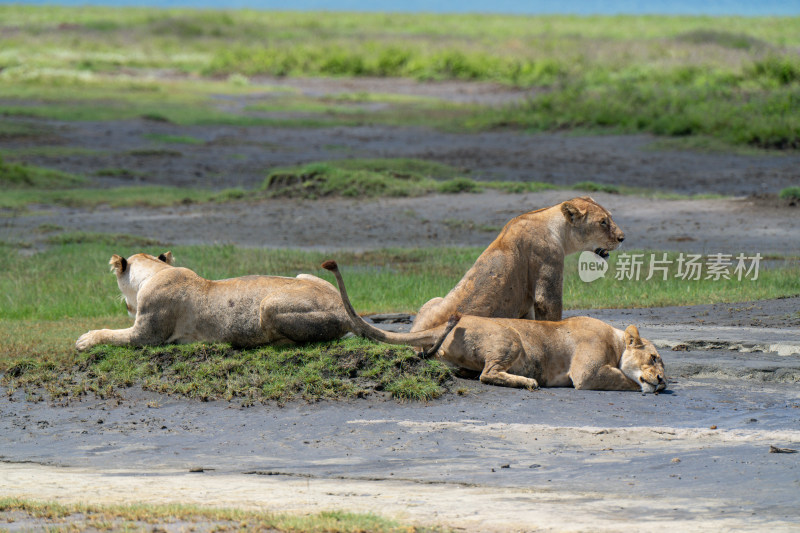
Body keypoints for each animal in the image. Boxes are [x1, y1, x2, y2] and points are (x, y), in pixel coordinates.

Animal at [76, 252, 352, 352]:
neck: (155, 271)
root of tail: (343, 309)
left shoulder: (146, 335)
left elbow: (111, 334)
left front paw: (85, 340)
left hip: (268, 305)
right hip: (303, 275)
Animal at [322, 260, 664, 392]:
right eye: (654, 358)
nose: (663, 381)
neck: (615, 341)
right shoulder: (586, 372)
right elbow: (625, 378)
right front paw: (645, 384)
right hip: (509, 338)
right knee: (488, 374)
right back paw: (528, 382)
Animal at [412, 196, 624, 328]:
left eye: (610, 217)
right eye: (603, 222)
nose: (622, 238)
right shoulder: (547, 270)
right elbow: (551, 314)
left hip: (433, 299)